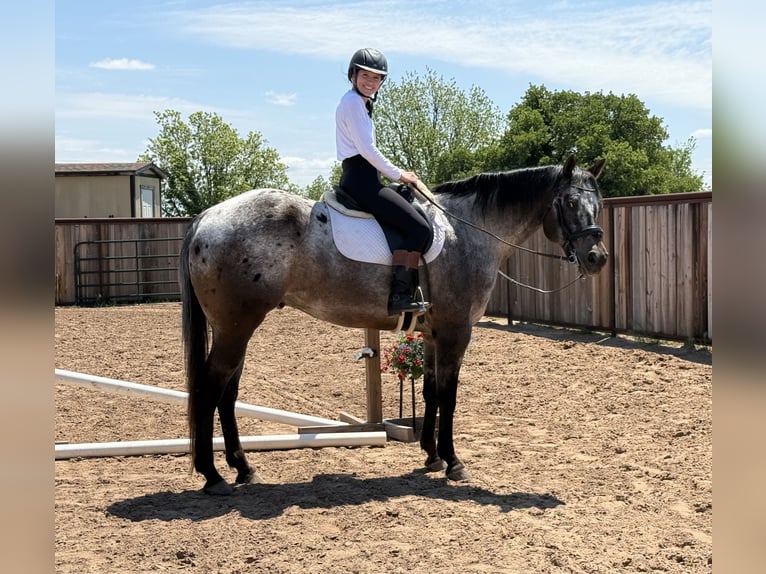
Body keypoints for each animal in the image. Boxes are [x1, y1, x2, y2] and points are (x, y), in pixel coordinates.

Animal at [179, 155, 609, 495]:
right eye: (570, 202)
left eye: (598, 204)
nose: (597, 258)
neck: (467, 230)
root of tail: (207, 218)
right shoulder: (456, 331)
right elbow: (449, 395)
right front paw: (453, 462)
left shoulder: (433, 334)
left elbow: (432, 392)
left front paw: (431, 457)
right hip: (236, 328)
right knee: (209, 389)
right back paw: (213, 475)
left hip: (237, 329)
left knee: (227, 393)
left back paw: (242, 468)